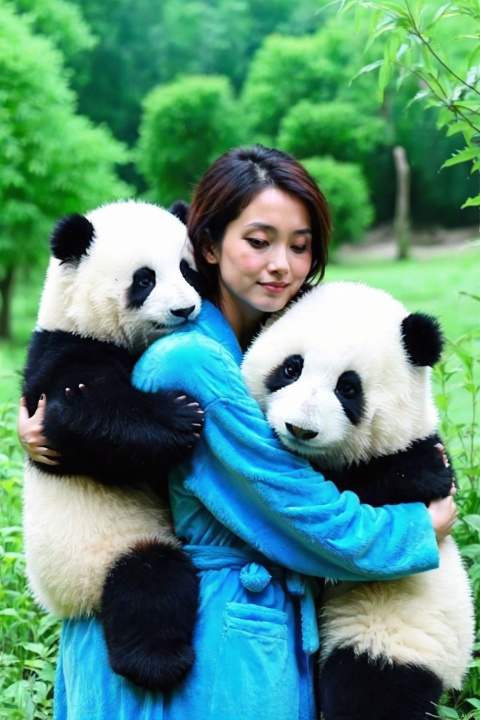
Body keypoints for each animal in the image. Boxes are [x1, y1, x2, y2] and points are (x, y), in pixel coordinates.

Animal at [23, 201, 202, 692]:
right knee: (149, 582)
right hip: (104, 546)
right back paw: (157, 662)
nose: (185, 310)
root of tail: (65, 605)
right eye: (144, 279)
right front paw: (180, 415)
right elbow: (75, 413)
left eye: (187, 270)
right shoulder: (63, 354)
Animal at [242, 280, 474, 720]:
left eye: (348, 388)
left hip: (398, 622)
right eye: (291, 368)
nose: (300, 429)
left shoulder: (409, 449)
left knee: (373, 684)